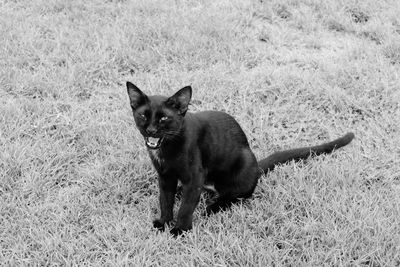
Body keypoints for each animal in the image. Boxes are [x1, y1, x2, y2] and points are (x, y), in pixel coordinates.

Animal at [126, 81, 354, 237]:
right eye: (143, 115)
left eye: (164, 118)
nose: (151, 130)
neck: (165, 148)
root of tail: (256, 164)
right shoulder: (165, 177)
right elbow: (165, 200)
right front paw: (164, 223)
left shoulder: (195, 176)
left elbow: (185, 207)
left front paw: (179, 230)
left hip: (239, 170)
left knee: (236, 195)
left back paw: (213, 207)